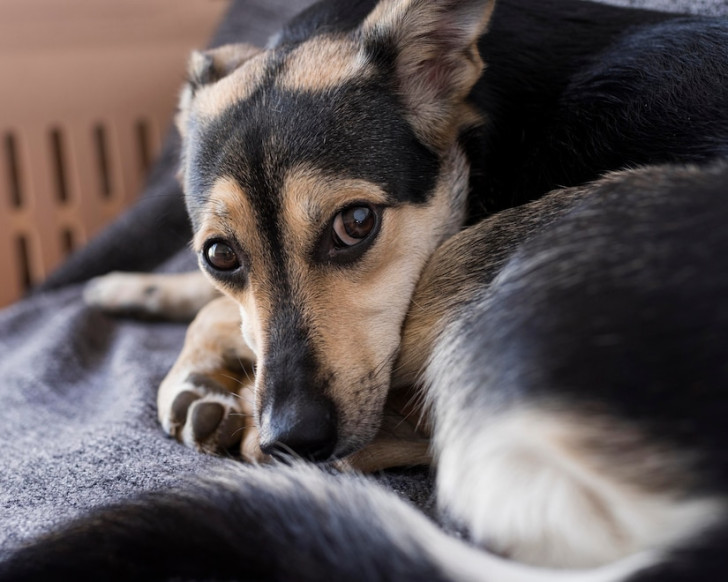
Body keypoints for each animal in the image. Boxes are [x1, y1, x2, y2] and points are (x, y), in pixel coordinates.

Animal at [5, 0, 728, 580]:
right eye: (219, 254)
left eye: (356, 224)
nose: (292, 438)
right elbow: (217, 304)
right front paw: (135, 289)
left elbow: (218, 318)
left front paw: (198, 374)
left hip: (483, 256)